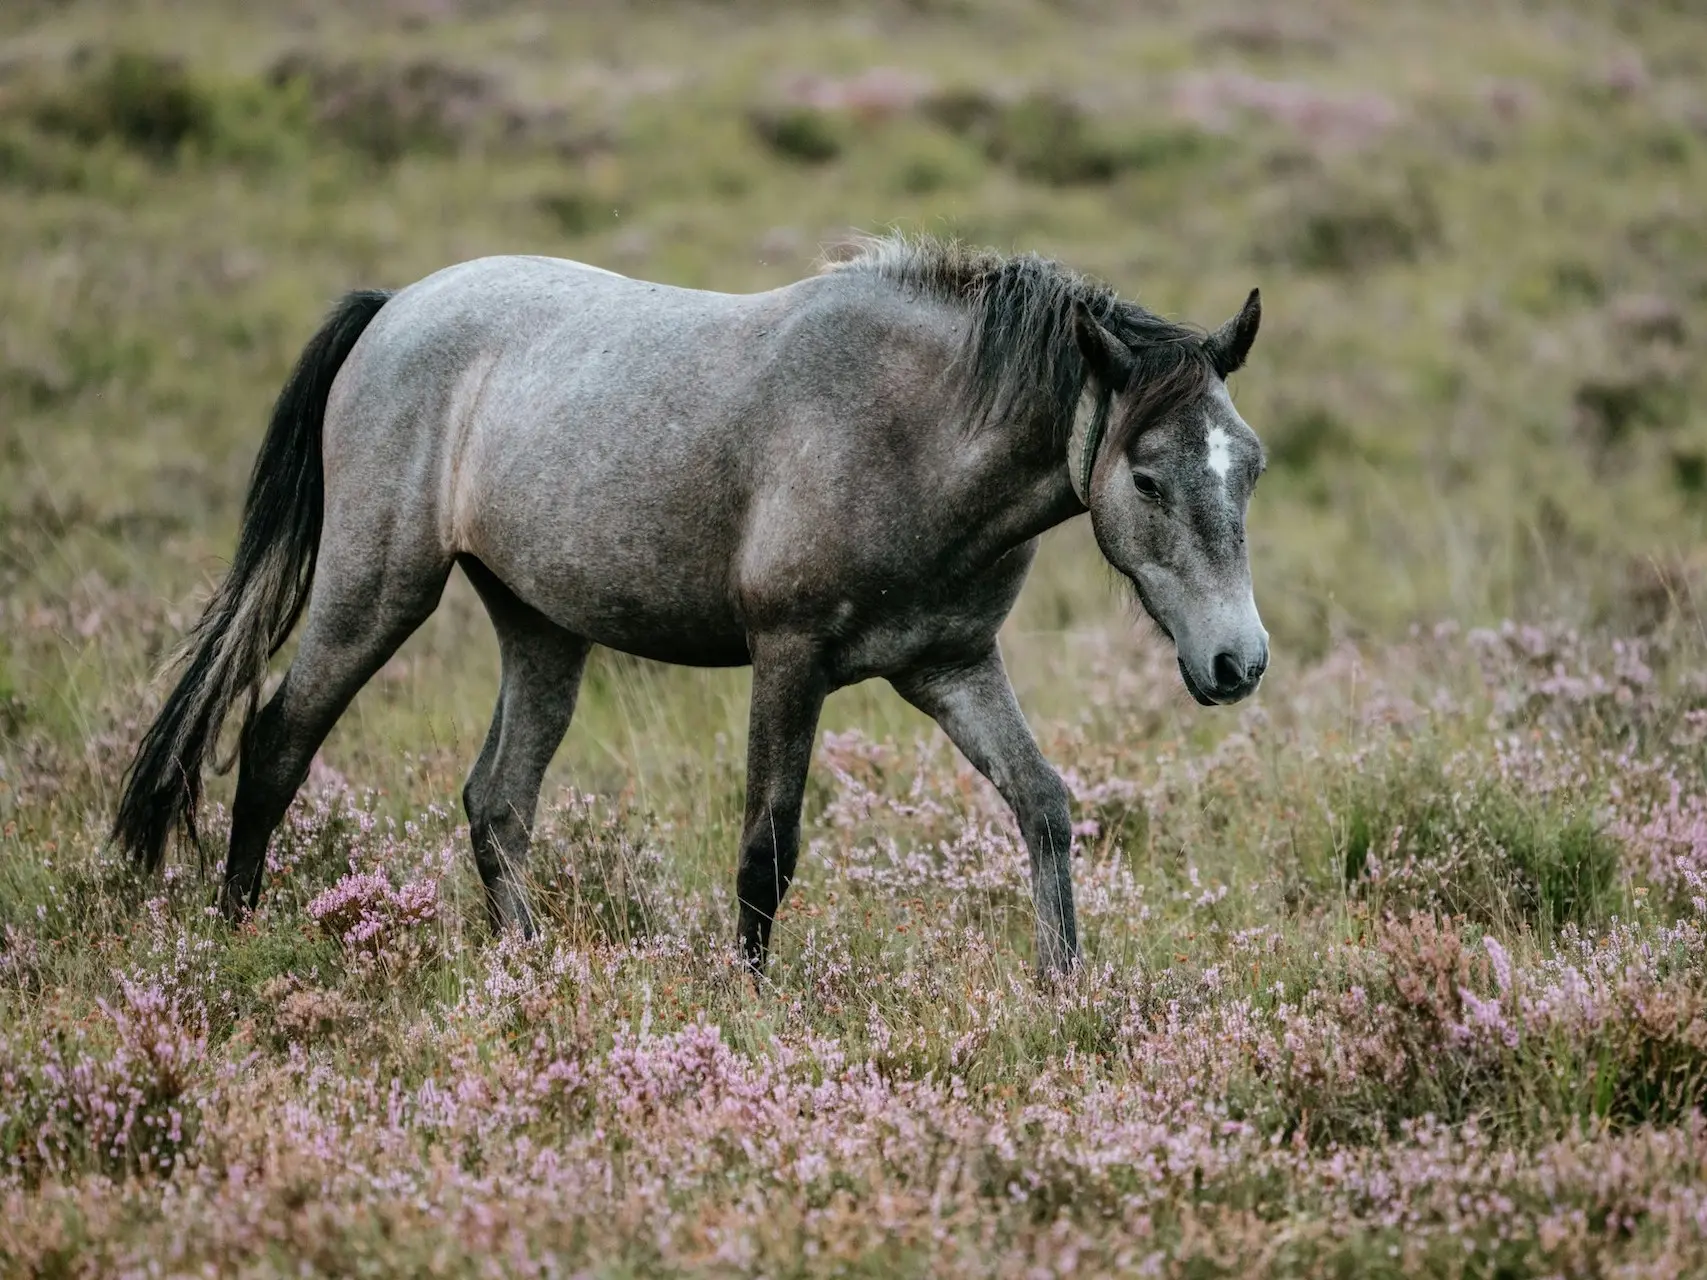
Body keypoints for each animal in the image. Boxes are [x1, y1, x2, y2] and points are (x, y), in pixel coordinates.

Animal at [113, 238, 1270, 983]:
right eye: (1149, 478)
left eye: (1249, 464)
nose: (1237, 663)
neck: (914, 430)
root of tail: (395, 306)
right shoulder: (790, 660)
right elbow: (769, 847)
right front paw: (749, 1006)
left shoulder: (951, 667)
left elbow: (1044, 806)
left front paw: (1065, 990)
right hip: (375, 592)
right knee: (276, 743)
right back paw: (236, 941)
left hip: (540, 627)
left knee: (498, 802)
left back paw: (527, 971)